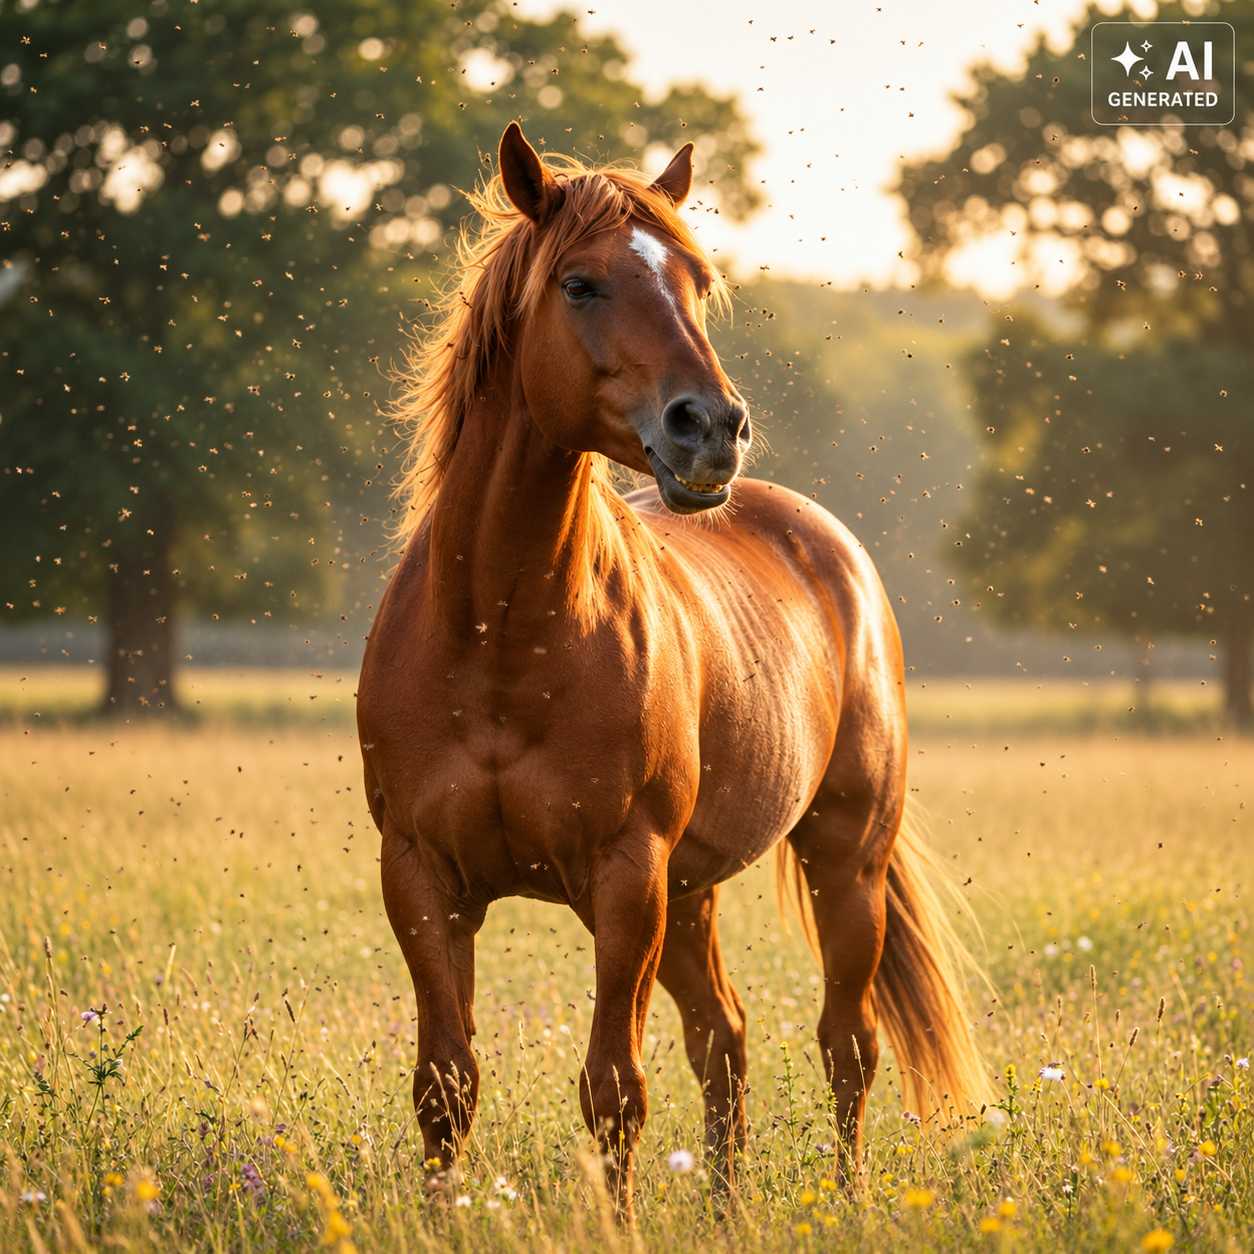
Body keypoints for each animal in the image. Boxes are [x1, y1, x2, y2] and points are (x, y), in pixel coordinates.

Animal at [357, 121, 986, 1219]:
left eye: (696, 282)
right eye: (579, 284)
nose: (713, 430)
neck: (497, 637)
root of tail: (826, 543)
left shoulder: (624, 879)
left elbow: (614, 1089)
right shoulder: (422, 877)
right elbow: (445, 1085)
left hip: (840, 862)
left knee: (847, 1046)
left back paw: (850, 1201)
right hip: (692, 895)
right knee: (725, 1042)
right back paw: (728, 1211)